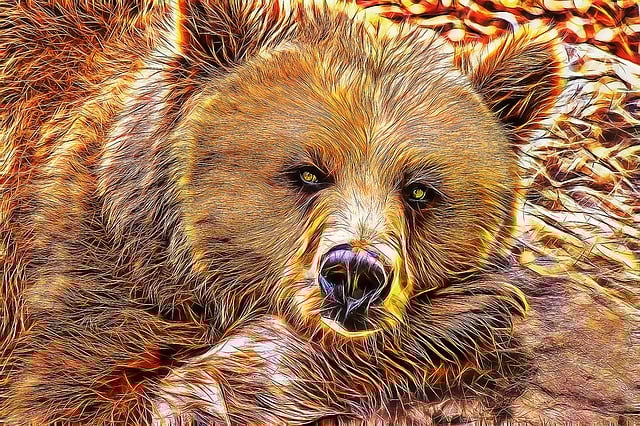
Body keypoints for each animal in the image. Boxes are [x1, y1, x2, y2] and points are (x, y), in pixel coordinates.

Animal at [1, 0, 639, 424]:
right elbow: (75, 397)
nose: (355, 275)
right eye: (307, 172)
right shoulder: (73, 283)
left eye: (419, 191)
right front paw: (464, 314)